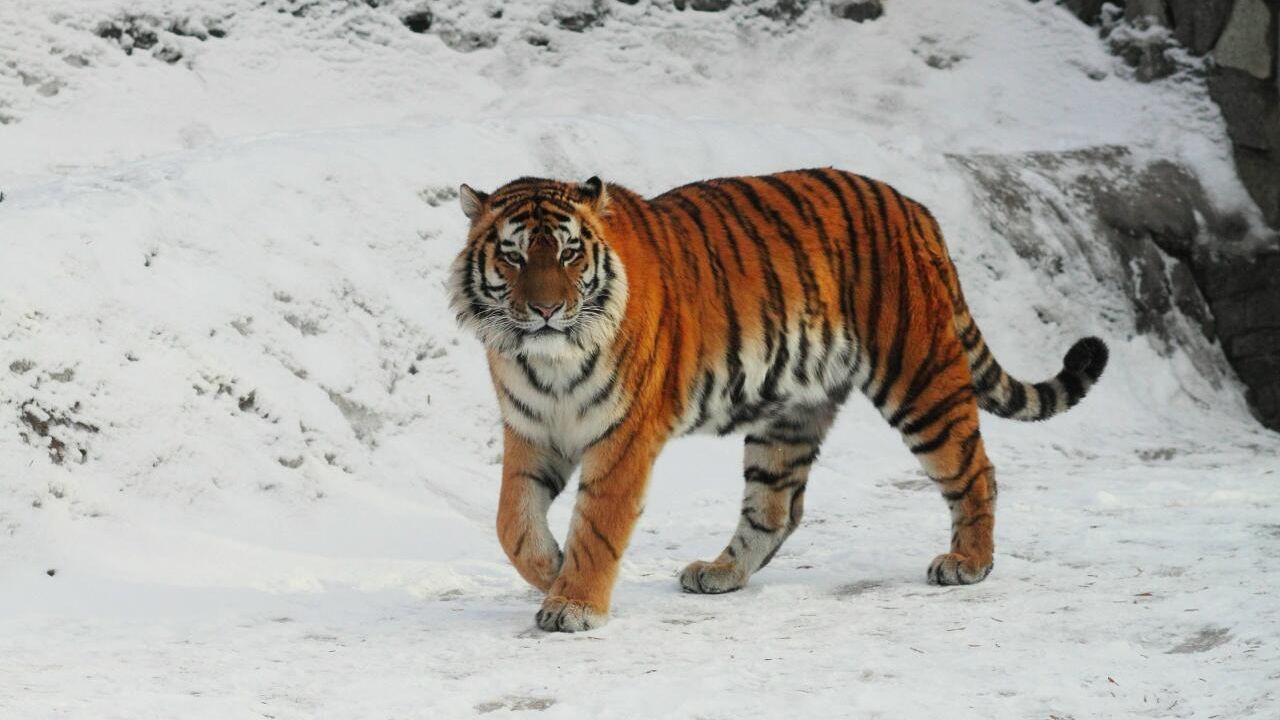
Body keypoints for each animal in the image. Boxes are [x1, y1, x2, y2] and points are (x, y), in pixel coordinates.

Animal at [448, 170, 1108, 633]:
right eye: (512, 255)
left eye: (568, 253)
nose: (545, 309)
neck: (545, 360)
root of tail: (915, 207)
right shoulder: (532, 430)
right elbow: (512, 523)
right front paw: (551, 571)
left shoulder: (624, 436)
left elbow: (598, 523)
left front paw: (575, 602)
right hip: (790, 413)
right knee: (776, 507)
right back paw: (720, 572)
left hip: (920, 377)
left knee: (976, 470)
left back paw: (968, 562)